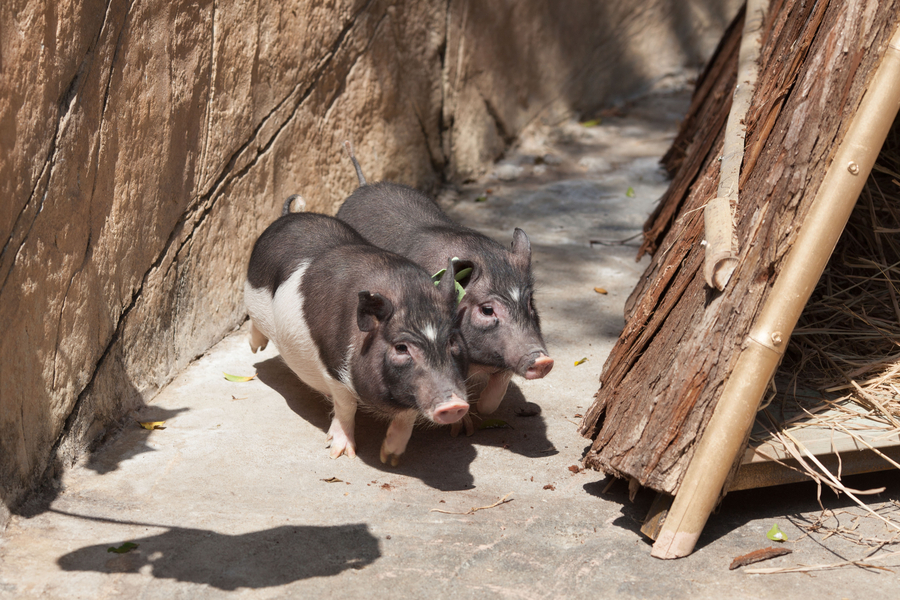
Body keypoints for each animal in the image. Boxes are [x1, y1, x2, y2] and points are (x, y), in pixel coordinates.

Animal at [244, 198, 470, 465]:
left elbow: (408, 415)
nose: (454, 404)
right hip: (253, 295)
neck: (404, 292)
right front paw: (340, 454)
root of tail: (288, 215)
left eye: (452, 341)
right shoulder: (333, 369)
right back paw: (256, 349)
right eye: (401, 347)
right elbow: (346, 407)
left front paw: (389, 458)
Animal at [335, 144, 553, 429]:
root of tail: (364, 184)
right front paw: (463, 428)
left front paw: (484, 409)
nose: (543, 360)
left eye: (529, 303)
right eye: (487, 310)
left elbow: (497, 388)